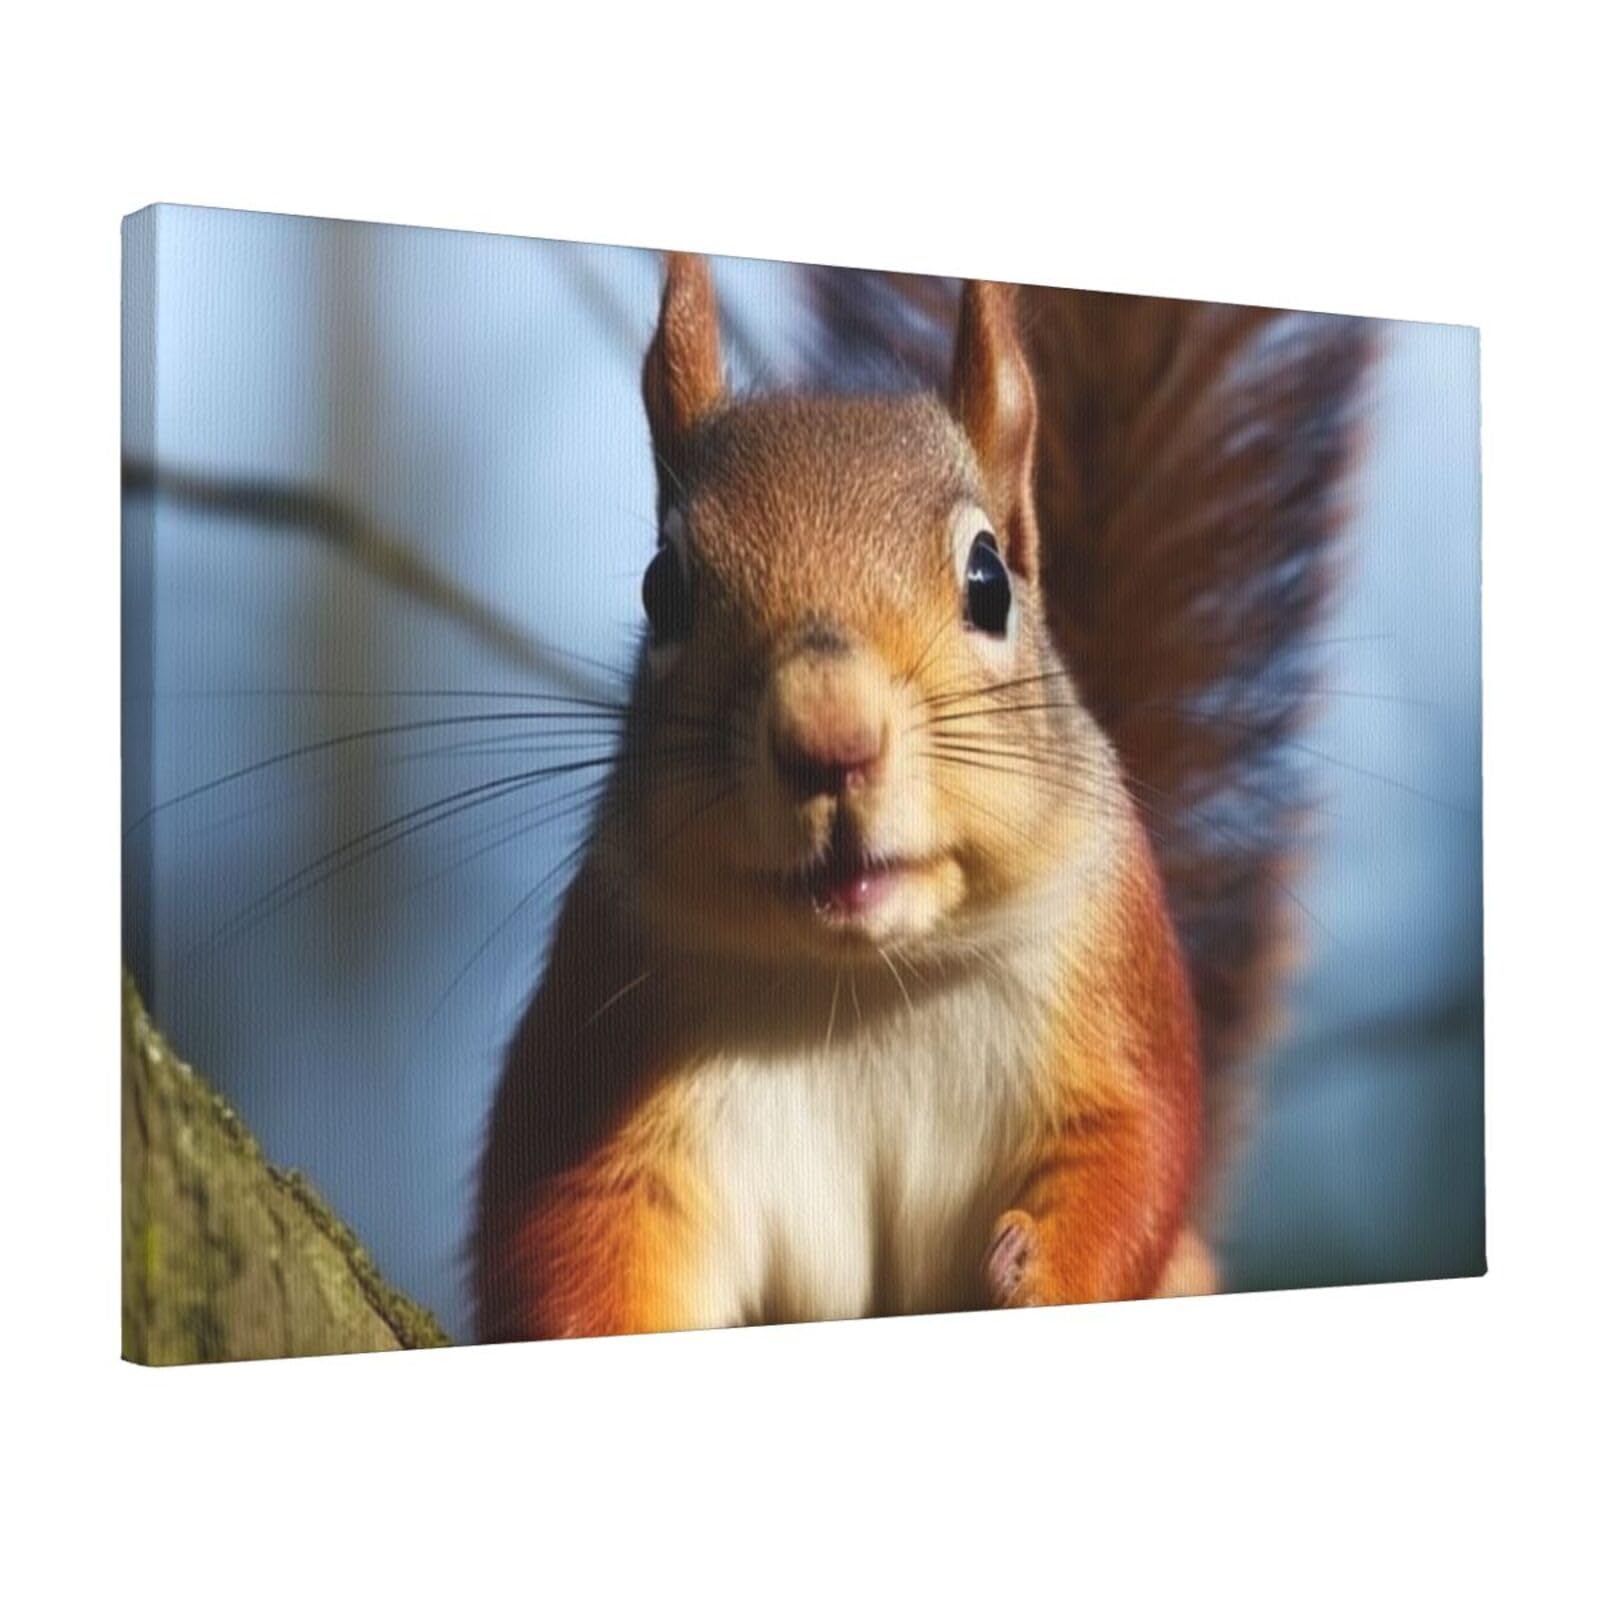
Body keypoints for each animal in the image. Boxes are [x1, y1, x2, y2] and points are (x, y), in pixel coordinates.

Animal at [472, 253, 1371, 1339]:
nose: (829, 737)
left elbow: (1133, 1151)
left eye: (990, 581)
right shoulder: (604, 1027)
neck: (863, 980)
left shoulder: (1109, 975)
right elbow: (570, 1231)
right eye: (662, 589)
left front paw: (1043, 1274)